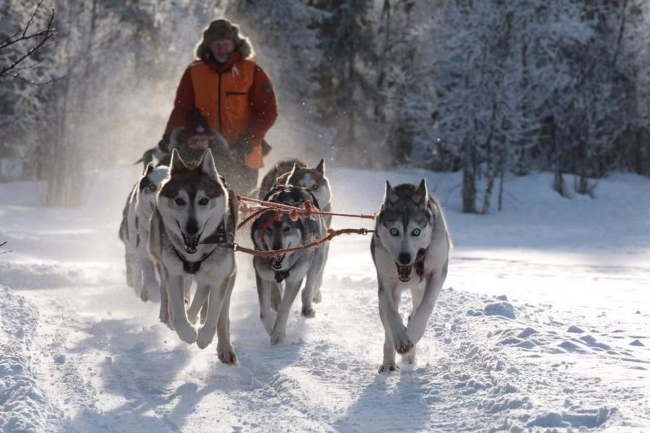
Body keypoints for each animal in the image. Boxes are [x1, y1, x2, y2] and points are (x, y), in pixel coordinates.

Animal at [147, 148, 238, 362]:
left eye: (203, 201)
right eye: (179, 201)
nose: (192, 227)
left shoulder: (222, 277)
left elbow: (214, 315)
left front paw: (204, 337)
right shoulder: (173, 273)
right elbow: (179, 314)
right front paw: (187, 332)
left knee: (216, 308)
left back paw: (223, 345)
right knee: (169, 294)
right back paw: (170, 315)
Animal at [249, 186, 326, 344]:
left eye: (287, 229)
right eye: (269, 228)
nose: (277, 247)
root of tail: (293, 188)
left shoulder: (295, 279)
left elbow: (285, 309)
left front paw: (278, 333)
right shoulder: (262, 275)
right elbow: (264, 313)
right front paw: (271, 327)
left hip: (317, 258)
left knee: (310, 285)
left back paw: (307, 307)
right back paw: (276, 297)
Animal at [370, 179, 450, 372]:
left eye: (416, 231)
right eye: (394, 231)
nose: (404, 257)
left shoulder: (438, 273)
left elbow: (425, 308)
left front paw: (413, 333)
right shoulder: (386, 285)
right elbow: (392, 314)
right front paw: (401, 338)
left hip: (419, 289)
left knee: (414, 311)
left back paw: (409, 354)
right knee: (388, 330)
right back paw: (389, 363)